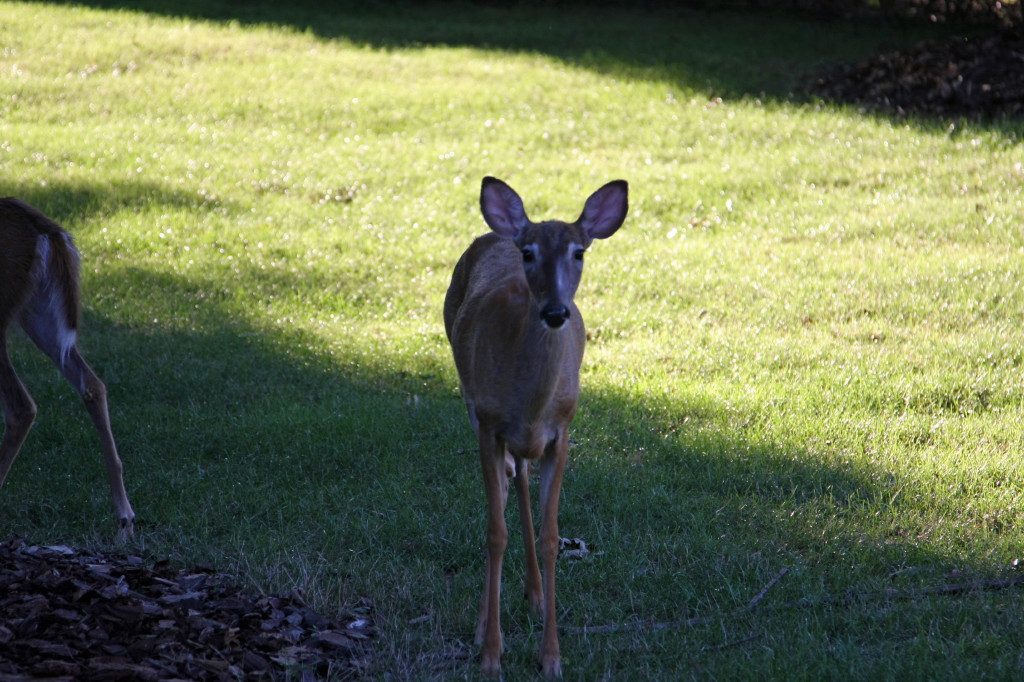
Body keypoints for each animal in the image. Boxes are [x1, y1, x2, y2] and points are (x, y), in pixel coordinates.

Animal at [444, 177, 628, 678]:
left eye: (579, 252)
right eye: (527, 253)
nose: (555, 311)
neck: (531, 403)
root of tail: (491, 234)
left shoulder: (561, 431)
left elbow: (550, 538)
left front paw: (551, 657)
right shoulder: (488, 425)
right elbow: (494, 532)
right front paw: (490, 653)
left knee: (520, 481)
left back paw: (536, 596)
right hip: (470, 401)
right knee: (509, 488)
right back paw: (487, 622)